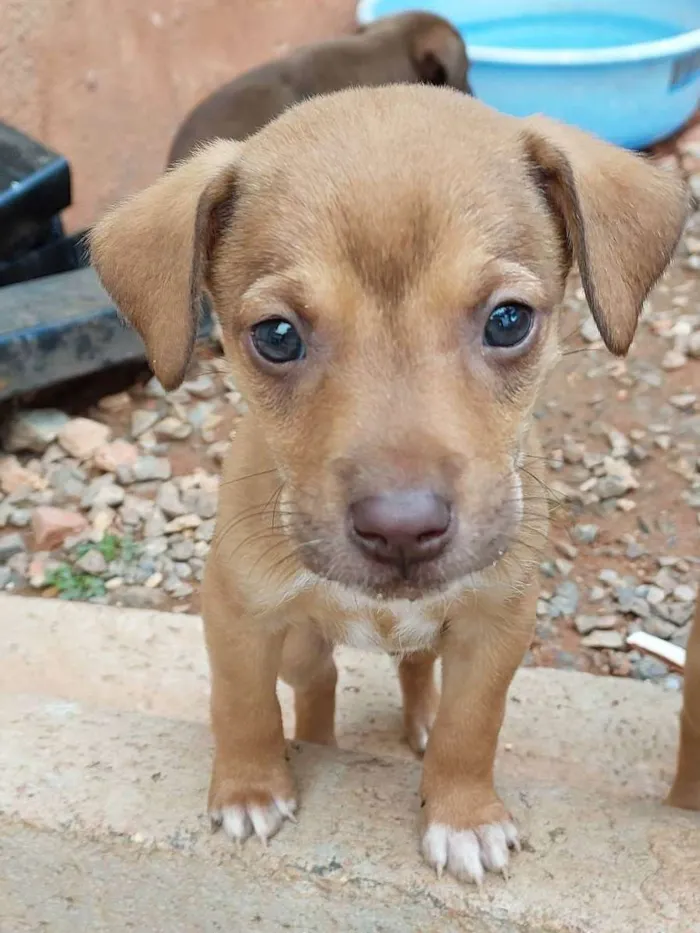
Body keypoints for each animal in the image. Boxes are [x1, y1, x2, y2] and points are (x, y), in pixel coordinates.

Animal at [90, 85, 688, 880]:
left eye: (509, 321)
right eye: (276, 336)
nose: (402, 530)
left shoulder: (495, 619)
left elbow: (473, 722)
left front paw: (463, 815)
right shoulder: (237, 611)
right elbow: (241, 703)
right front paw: (249, 787)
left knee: (415, 670)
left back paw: (420, 723)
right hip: (301, 644)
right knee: (318, 684)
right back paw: (316, 742)